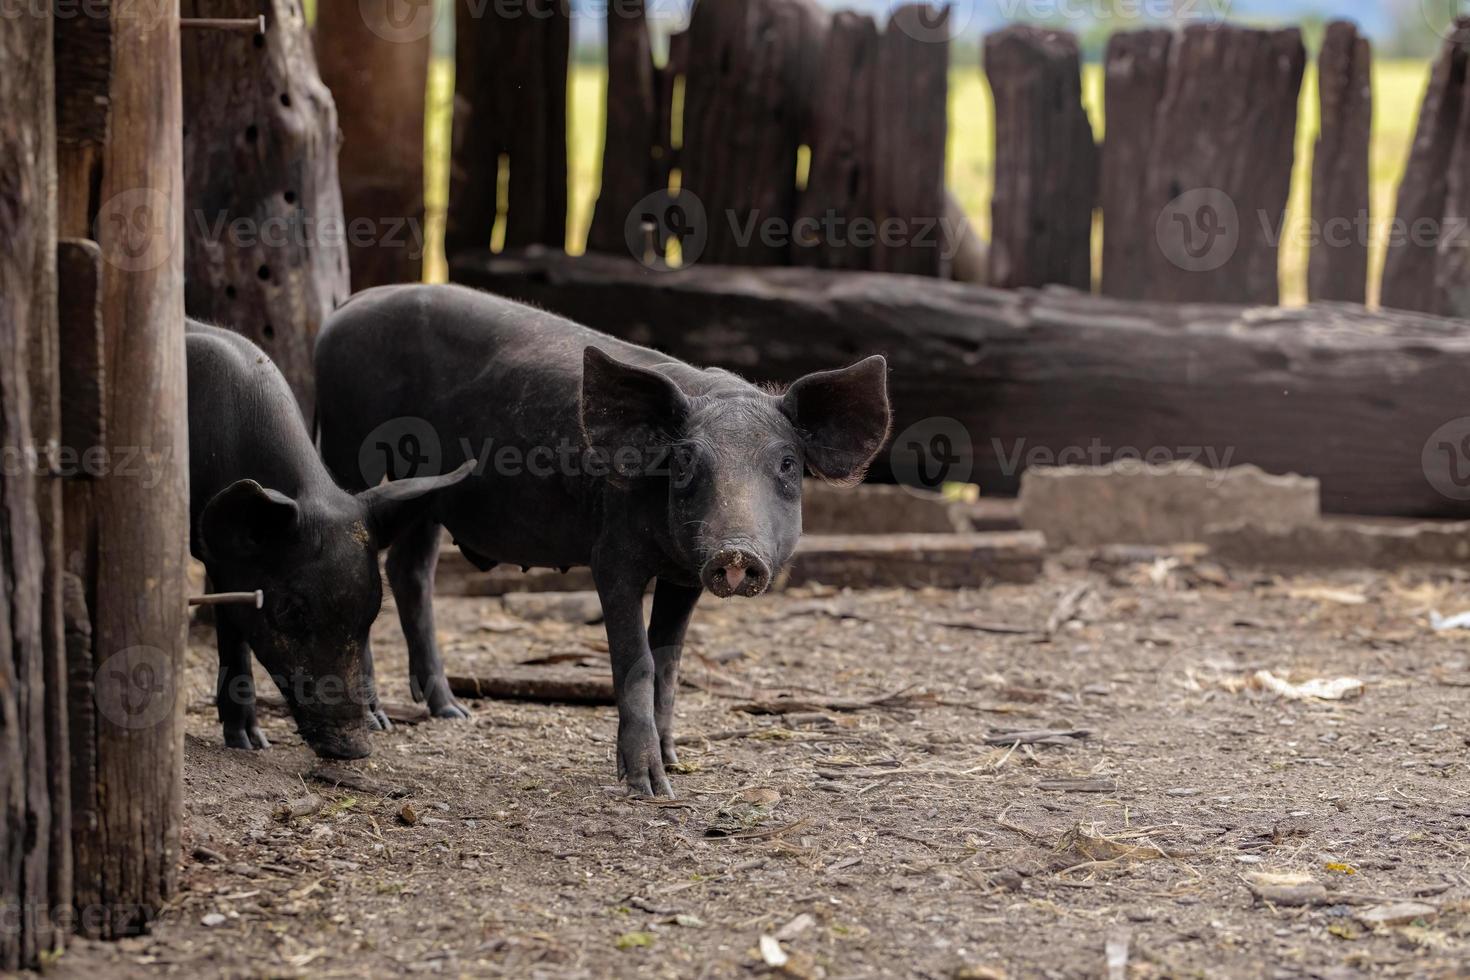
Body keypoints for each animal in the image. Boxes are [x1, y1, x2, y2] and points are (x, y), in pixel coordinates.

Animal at [186, 321, 467, 758]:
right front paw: (250, 744)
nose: (353, 747)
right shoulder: (220, 562)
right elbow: (234, 636)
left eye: (372, 611)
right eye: (289, 610)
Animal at [311, 285, 887, 799]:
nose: (736, 552)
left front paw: (674, 764)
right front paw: (649, 788)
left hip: (428, 495)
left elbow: (669, 662)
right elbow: (638, 660)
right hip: (349, 450)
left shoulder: (685, 575)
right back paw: (380, 721)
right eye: (686, 461)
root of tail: (345, 310)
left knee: (411, 573)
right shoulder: (611, 555)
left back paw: (453, 712)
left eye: (787, 464)